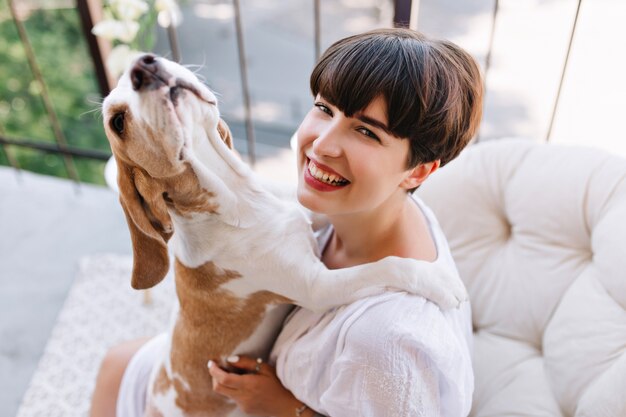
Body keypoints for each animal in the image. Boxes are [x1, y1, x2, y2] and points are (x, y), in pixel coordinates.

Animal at [101, 55, 464, 416]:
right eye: (118, 122)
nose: (143, 65)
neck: (242, 201)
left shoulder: (304, 213)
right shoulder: (317, 287)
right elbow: (386, 267)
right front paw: (439, 280)